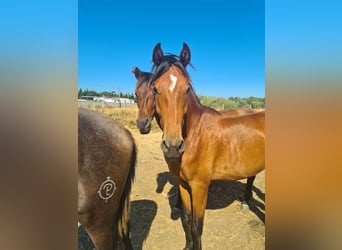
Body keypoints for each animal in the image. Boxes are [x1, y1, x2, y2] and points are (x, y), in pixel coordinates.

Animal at [149, 42, 264, 249]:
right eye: (155, 89)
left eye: (187, 89)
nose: (173, 146)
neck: (195, 135)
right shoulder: (183, 184)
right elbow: (187, 218)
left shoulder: (200, 187)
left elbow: (197, 225)